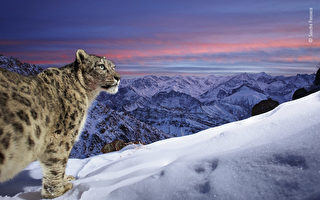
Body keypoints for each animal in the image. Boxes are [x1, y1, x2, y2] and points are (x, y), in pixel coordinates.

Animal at [0, 49, 120, 198]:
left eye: (113, 67)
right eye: (101, 66)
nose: (118, 77)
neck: (88, 96)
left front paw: (66, 179)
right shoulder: (62, 136)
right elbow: (57, 163)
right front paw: (58, 191)